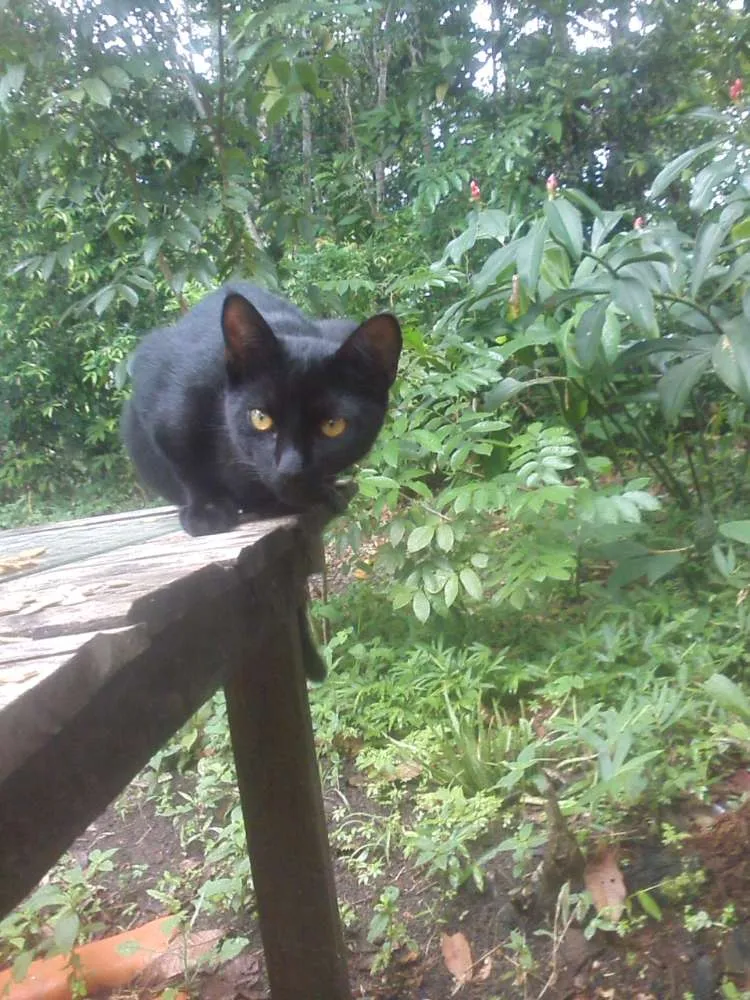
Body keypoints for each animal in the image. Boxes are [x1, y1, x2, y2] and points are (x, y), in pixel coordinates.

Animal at [122, 282, 402, 679]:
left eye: (333, 426)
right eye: (260, 418)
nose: (291, 468)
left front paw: (324, 490)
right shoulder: (163, 387)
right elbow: (183, 456)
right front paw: (206, 510)